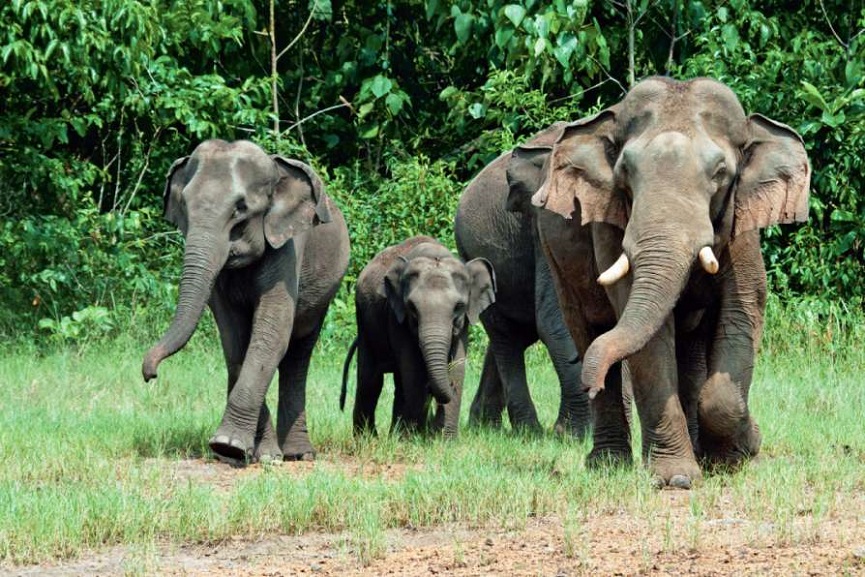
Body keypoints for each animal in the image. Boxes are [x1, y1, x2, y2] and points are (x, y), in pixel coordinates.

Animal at [142, 139, 350, 466]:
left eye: (240, 209)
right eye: (184, 206)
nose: (150, 375)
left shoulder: (288, 244)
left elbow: (271, 334)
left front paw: (230, 446)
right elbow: (234, 339)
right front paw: (247, 453)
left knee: (299, 350)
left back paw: (299, 455)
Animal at [340, 236, 496, 438]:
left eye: (459, 306)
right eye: (412, 307)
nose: (450, 386)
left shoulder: (464, 323)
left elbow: (458, 366)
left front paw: (445, 439)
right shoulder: (396, 315)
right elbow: (413, 368)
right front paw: (413, 439)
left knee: (397, 384)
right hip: (364, 321)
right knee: (370, 380)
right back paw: (368, 439)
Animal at [454, 126, 591, 437]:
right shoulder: (545, 226)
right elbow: (556, 320)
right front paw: (572, 436)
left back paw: (485, 426)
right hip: (473, 252)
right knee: (507, 337)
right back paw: (527, 431)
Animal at [507, 77, 810, 488]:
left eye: (720, 173)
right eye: (625, 172)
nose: (589, 382)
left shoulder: (743, 226)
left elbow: (741, 314)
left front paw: (736, 455)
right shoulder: (611, 220)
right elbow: (649, 341)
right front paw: (677, 479)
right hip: (554, 256)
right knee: (587, 329)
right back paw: (608, 464)